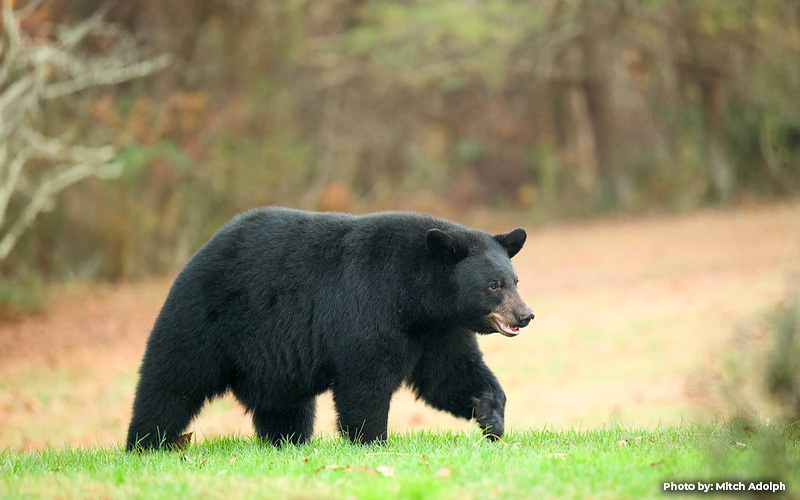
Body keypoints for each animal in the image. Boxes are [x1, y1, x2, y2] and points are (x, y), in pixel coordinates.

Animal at [126, 207, 534, 450]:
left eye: (515, 280)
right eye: (494, 285)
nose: (525, 315)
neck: (414, 297)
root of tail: (201, 251)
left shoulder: (437, 330)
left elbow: (450, 374)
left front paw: (491, 417)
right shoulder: (369, 306)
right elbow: (365, 379)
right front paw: (372, 441)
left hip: (271, 361)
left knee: (285, 405)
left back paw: (287, 442)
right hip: (205, 320)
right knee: (171, 382)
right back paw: (145, 443)